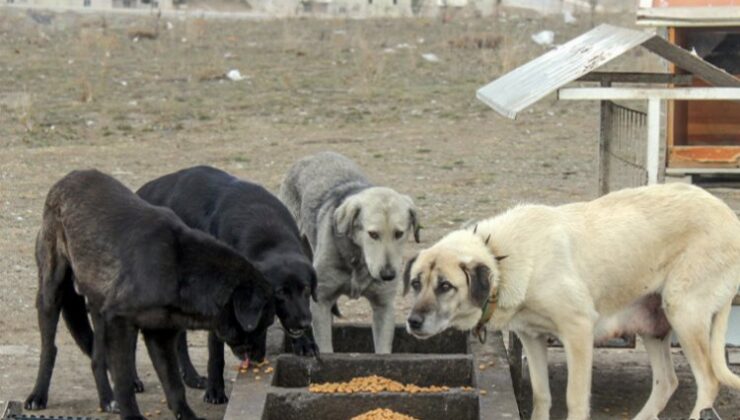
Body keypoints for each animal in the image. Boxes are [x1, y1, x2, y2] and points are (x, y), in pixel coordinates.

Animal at [26, 169, 276, 418]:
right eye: (264, 323)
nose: (260, 359)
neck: (179, 268)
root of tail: (68, 177)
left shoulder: (159, 334)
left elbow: (174, 386)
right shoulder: (119, 324)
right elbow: (125, 382)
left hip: (98, 308)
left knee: (97, 359)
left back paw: (107, 400)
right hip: (51, 293)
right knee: (49, 349)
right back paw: (38, 395)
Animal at [137, 166, 316, 406]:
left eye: (306, 289)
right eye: (280, 293)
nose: (304, 323)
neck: (267, 233)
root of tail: (141, 191)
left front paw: (305, 343)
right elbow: (216, 354)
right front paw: (215, 391)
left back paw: (191, 376)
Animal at [280, 152, 420, 354]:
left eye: (399, 233)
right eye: (373, 234)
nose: (388, 275)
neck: (358, 259)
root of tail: (312, 155)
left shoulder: (384, 306)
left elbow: (383, 351)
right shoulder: (321, 301)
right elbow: (325, 348)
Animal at [404, 184, 740, 420]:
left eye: (445, 286)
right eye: (416, 283)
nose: (412, 322)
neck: (501, 257)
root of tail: (728, 215)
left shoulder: (578, 330)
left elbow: (574, 399)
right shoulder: (532, 337)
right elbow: (542, 396)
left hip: (683, 312)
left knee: (708, 382)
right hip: (653, 326)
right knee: (667, 381)